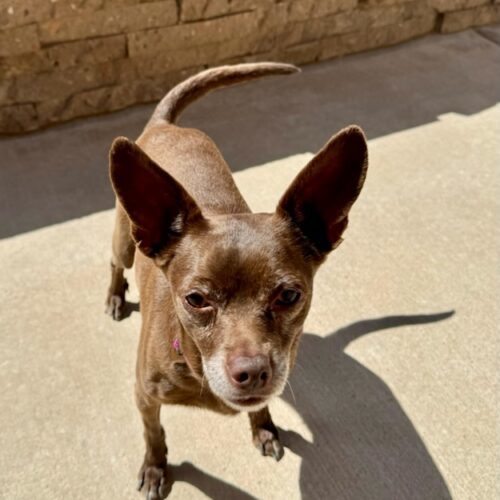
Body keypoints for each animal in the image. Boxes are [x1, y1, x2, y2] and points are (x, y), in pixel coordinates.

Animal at [104, 61, 368, 496]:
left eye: (289, 296)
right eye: (196, 300)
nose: (253, 372)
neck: (192, 359)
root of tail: (166, 124)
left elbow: (261, 408)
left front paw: (263, 429)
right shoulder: (144, 396)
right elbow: (153, 433)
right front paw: (157, 467)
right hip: (125, 241)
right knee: (115, 263)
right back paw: (113, 297)